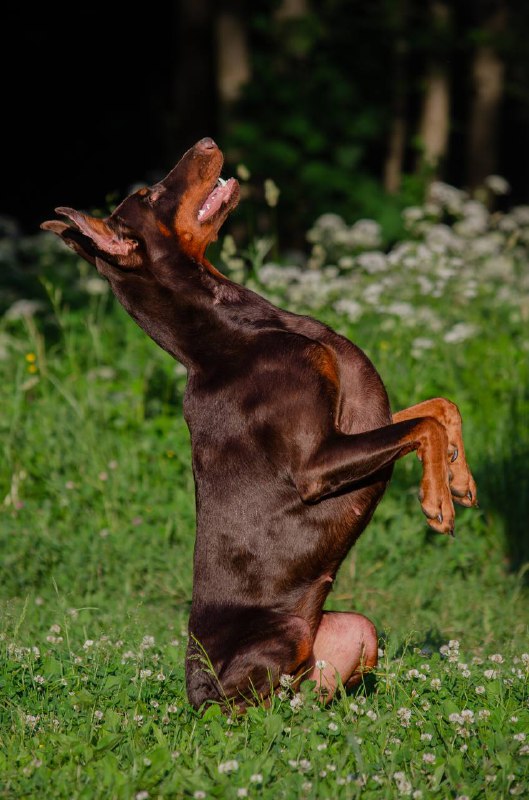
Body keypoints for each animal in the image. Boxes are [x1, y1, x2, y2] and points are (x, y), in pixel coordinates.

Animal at [43, 139, 476, 712]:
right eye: (151, 195)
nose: (206, 142)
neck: (231, 328)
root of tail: (195, 692)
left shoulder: (361, 419)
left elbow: (441, 408)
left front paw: (458, 477)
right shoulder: (316, 464)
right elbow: (424, 424)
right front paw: (437, 502)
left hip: (354, 631)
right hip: (273, 644)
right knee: (248, 710)